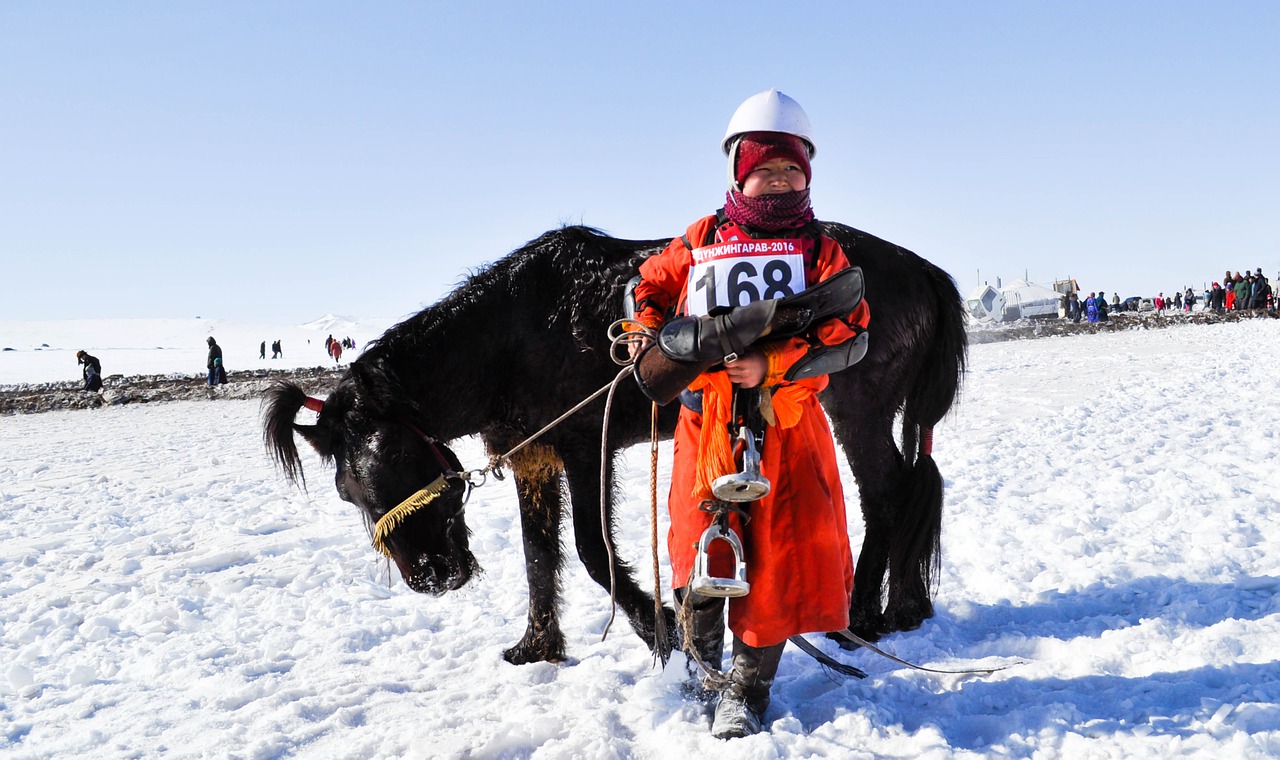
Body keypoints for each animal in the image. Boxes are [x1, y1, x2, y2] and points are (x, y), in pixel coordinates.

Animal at [262, 220, 962, 665]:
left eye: (403, 457)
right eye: (348, 492)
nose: (433, 577)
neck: (510, 336)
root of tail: (923, 271)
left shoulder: (582, 447)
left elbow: (591, 549)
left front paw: (660, 632)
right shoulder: (532, 456)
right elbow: (538, 554)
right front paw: (538, 646)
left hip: (859, 410)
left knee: (888, 495)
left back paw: (862, 617)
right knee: (905, 488)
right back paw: (902, 605)